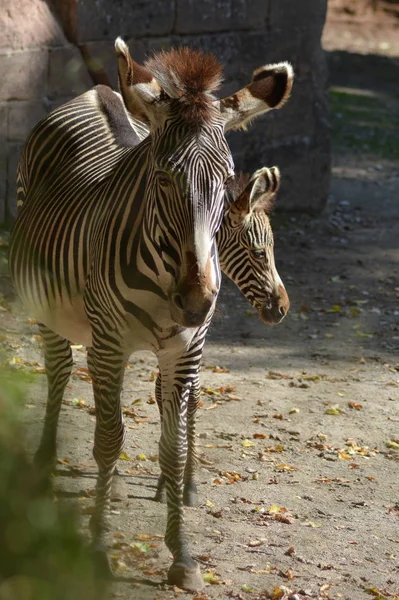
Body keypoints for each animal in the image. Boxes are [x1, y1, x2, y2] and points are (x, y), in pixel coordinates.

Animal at [7, 38, 292, 592]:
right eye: (163, 179)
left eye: (223, 183)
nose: (196, 301)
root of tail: (98, 90)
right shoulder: (111, 342)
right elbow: (108, 439)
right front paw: (98, 548)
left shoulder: (186, 347)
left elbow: (172, 441)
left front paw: (181, 548)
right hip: (54, 311)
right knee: (59, 371)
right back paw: (45, 463)